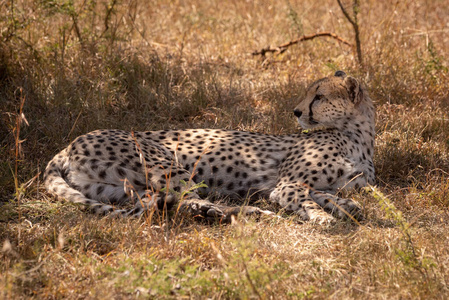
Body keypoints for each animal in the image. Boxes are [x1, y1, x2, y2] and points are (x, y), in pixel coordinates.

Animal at [44, 71, 374, 223]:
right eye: (310, 94)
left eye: (319, 96)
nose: (296, 111)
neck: (355, 136)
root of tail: (69, 144)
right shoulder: (286, 185)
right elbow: (308, 200)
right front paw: (323, 218)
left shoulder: (317, 185)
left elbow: (330, 196)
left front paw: (346, 207)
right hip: (164, 162)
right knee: (180, 198)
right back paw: (246, 211)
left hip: (116, 188)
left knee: (156, 204)